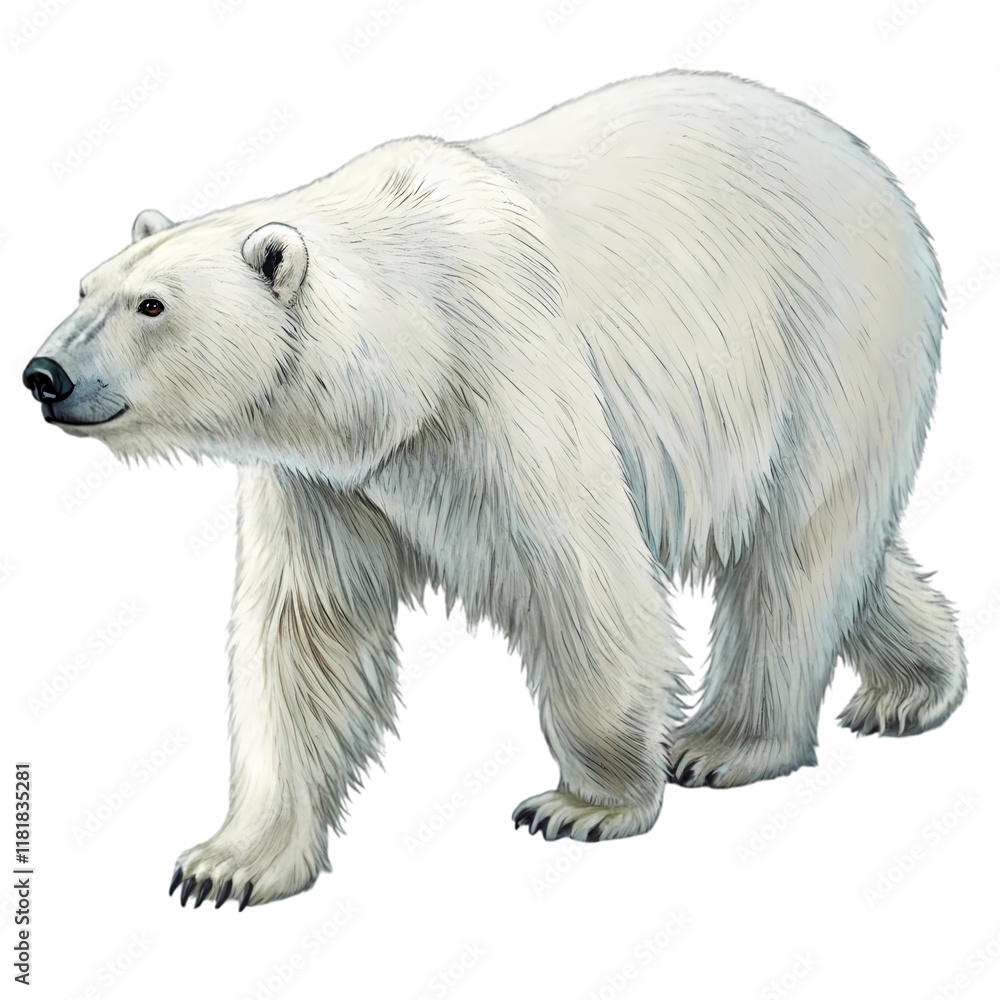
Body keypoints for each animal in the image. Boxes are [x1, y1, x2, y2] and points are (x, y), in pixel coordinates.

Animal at [23, 70, 966, 909]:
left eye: (151, 304)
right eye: (86, 285)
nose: (44, 374)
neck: (408, 351)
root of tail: (874, 172)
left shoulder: (501, 374)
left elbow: (580, 576)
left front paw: (584, 804)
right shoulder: (329, 478)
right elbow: (305, 631)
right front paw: (230, 865)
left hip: (827, 337)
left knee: (796, 548)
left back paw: (726, 744)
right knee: (847, 553)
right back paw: (914, 686)